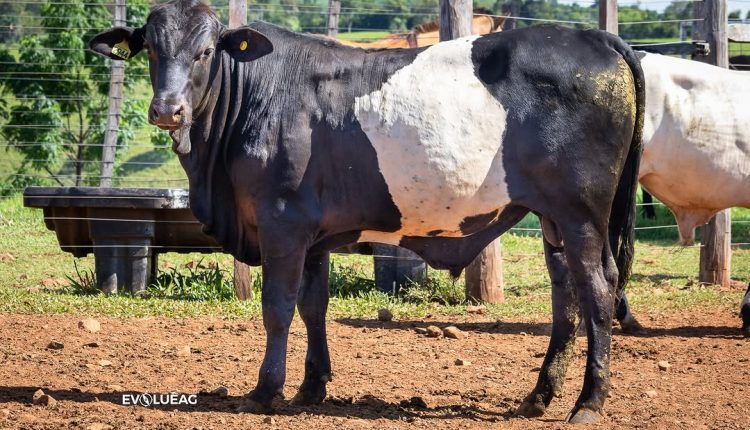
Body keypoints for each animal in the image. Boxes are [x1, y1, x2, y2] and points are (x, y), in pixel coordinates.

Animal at [91, 0, 648, 424]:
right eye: (151, 50)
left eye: (205, 52)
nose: (167, 110)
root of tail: (598, 39)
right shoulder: (313, 235)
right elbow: (313, 307)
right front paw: (312, 387)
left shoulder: (281, 222)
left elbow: (277, 307)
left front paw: (267, 390)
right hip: (554, 220)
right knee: (566, 297)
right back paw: (538, 396)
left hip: (581, 215)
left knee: (597, 292)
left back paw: (588, 403)